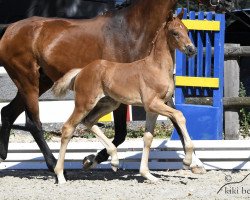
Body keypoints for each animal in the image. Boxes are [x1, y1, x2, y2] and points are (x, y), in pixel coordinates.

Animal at [53, 12, 199, 184]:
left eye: (187, 31)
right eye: (175, 33)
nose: (191, 49)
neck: (157, 68)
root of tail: (82, 70)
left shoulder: (153, 110)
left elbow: (148, 138)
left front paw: (147, 174)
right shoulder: (152, 104)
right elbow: (180, 115)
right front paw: (187, 160)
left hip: (109, 103)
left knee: (89, 121)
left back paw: (114, 160)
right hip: (85, 103)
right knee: (68, 127)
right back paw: (60, 175)